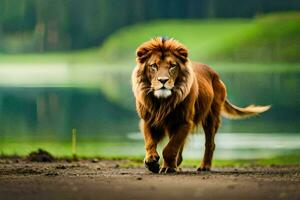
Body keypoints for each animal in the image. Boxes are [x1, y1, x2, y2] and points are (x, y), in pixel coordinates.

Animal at [131, 37, 270, 173]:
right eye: (154, 66)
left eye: (172, 66)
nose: (163, 80)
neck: (162, 102)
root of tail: (216, 75)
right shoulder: (148, 120)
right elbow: (150, 142)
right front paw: (151, 162)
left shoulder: (185, 121)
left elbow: (170, 148)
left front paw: (168, 167)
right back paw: (177, 164)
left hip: (211, 117)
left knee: (210, 144)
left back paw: (204, 166)